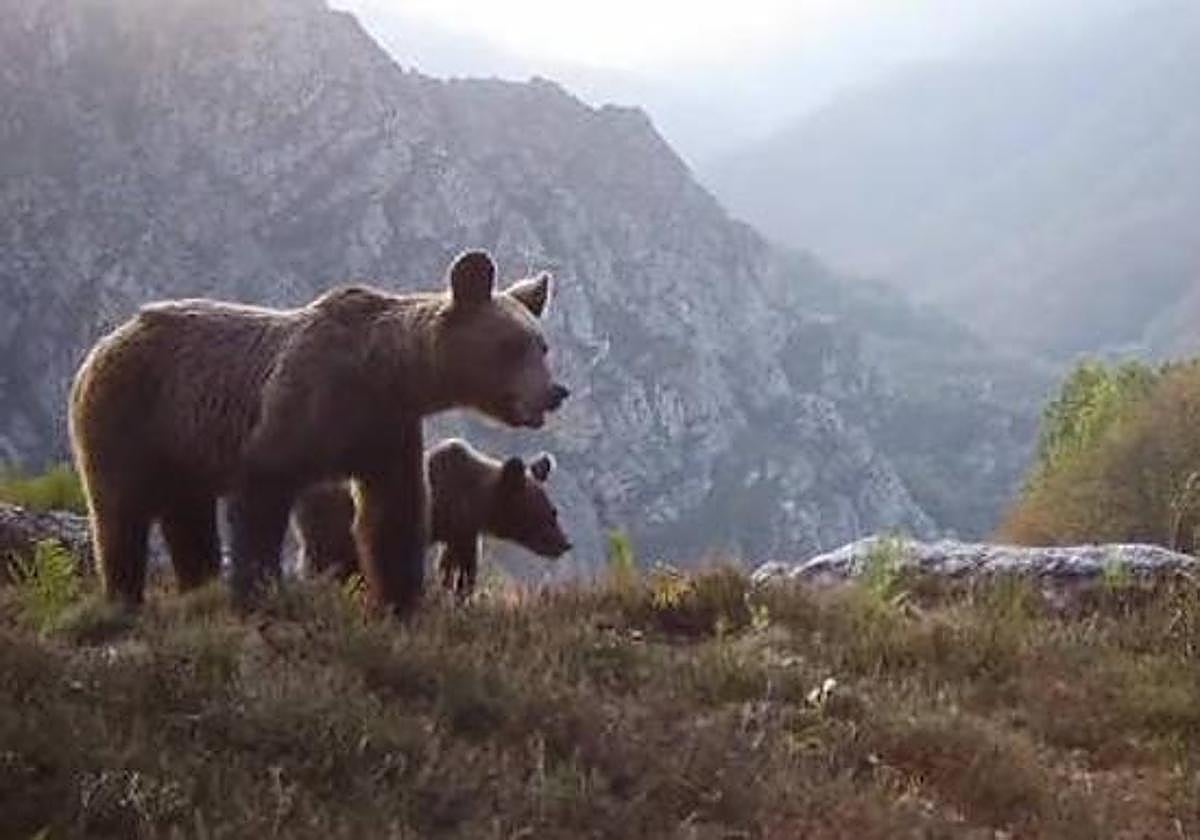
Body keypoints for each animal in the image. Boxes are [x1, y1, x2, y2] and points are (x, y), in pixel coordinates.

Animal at [293, 438, 571, 600]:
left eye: (554, 511)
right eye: (544, 514)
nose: (564, 543)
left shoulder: (462, 530)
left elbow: (458, 563)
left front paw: (457, 590)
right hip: (332, 525)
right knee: (322, 561)